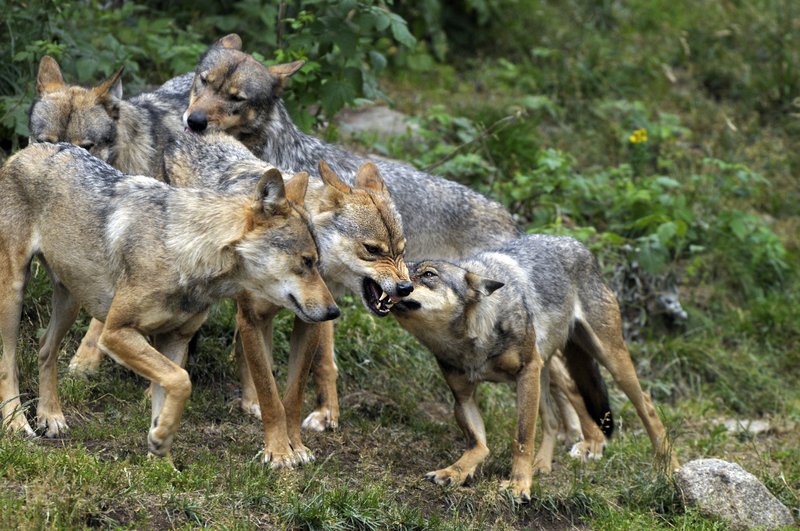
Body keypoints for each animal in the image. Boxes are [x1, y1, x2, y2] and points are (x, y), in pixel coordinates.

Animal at [0, 142, 334, 466]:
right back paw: (16, 423)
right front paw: (161, 441)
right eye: (307, 261)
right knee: (9, 362)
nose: (334, 312)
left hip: (71, 300)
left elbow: (169, 393)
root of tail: (30, 148)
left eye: (319, 262)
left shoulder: (173, 340)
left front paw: (161, 458)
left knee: (45, 348)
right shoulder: (115, 332)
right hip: (14, 297)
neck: (185, 251)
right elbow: (182, 380)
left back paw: (50, 416)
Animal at [390, 235, 680, 500]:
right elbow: (478, 443)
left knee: (645, 404)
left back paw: (669, 469)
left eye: (429, 275)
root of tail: (576, 242)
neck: (472, 338)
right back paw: (548, 462)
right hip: (544, 370)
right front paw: (455, 471)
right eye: (402, 267)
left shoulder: (526, 371)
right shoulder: (464, 397)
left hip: (607, 361)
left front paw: (519, 485)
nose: (396, 285)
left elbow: (521, 439)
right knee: (554, 418)